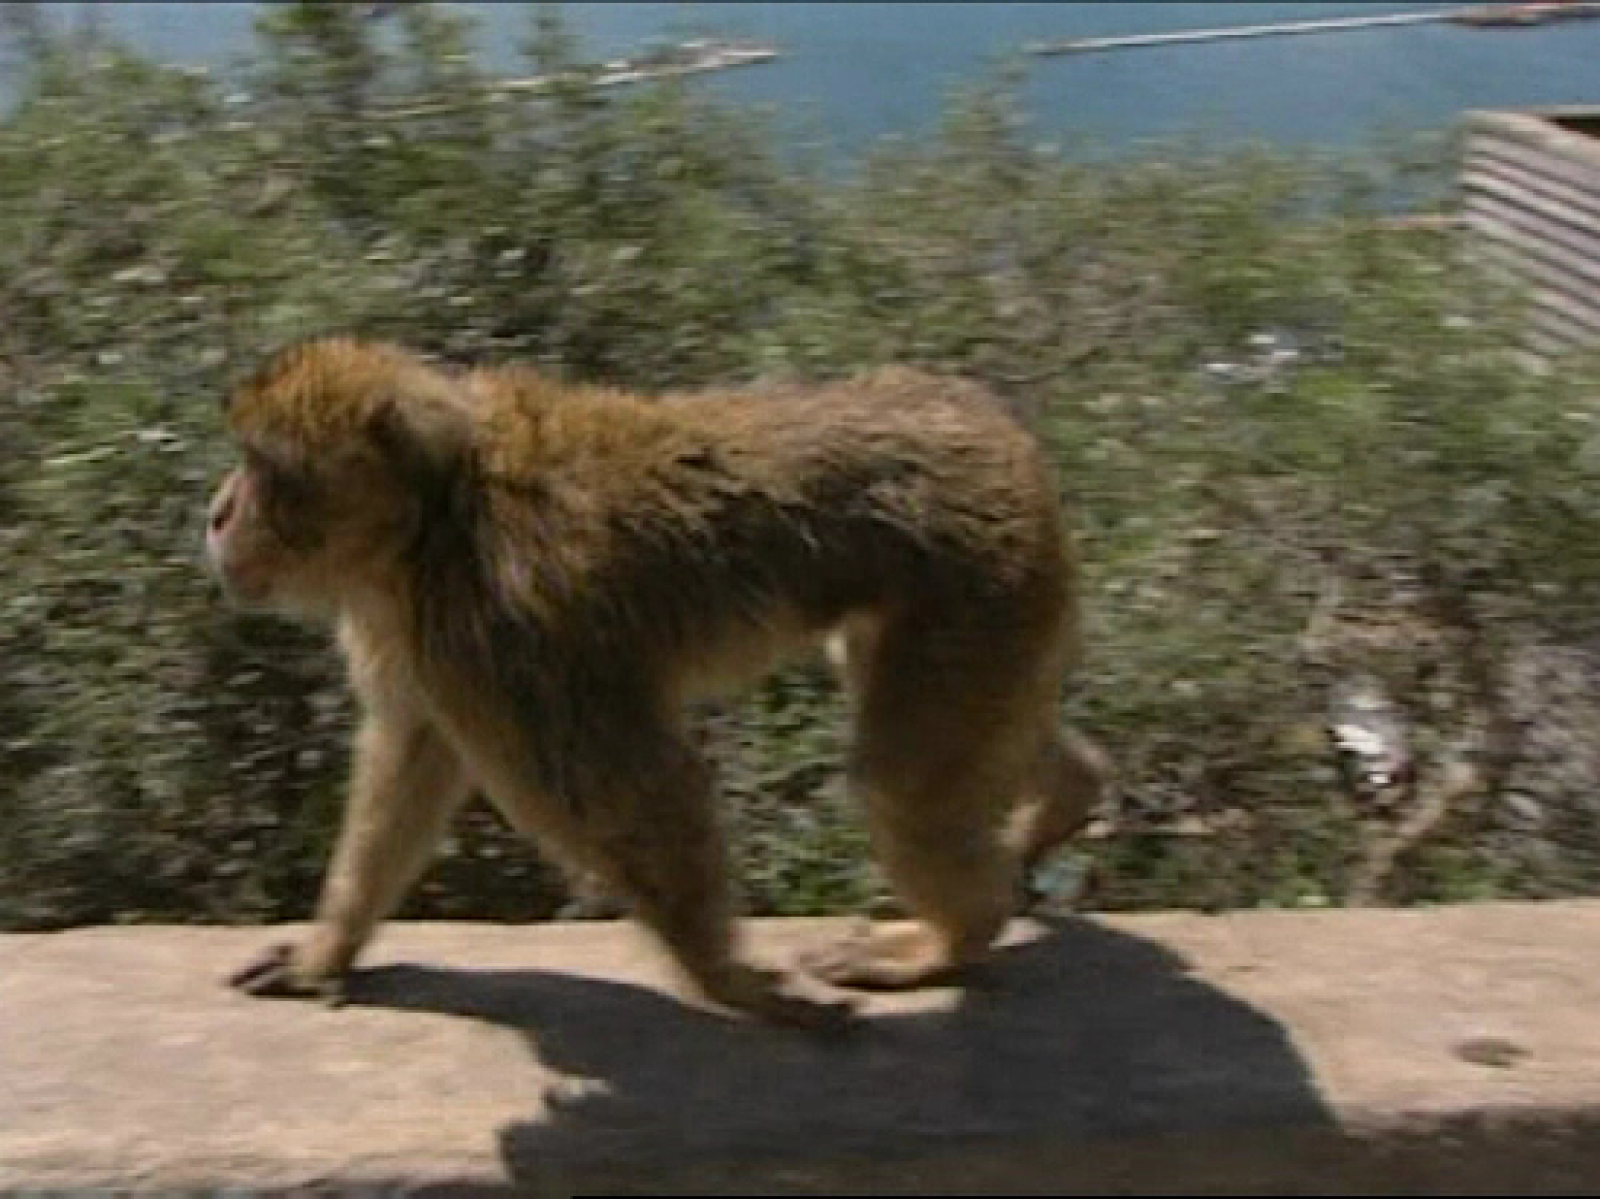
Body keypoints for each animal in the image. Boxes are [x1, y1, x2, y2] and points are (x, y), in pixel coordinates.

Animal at [205, 336, 1106, 1028]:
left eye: (266, 470)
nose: (217, 511)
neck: (436, 516)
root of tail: (990, 420)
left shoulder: (504, 634)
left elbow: (631, 789)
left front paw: (729, 982)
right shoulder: (423, 637)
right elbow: (413, 759)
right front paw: (326, 948)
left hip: (979, 577)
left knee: (902, 781)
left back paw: (958, 933)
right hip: (992, 593)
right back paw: (1068, 794)